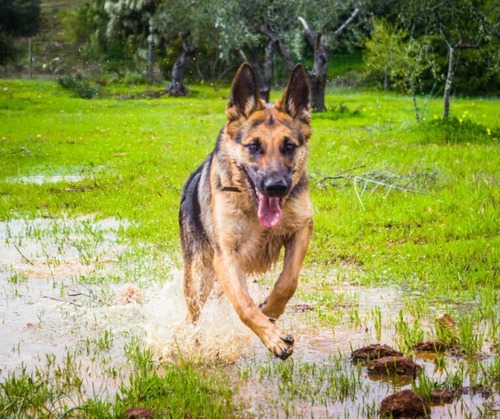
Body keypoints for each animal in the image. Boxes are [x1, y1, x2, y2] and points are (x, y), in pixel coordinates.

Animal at [180, 63, 312, 360]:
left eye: (289, 146)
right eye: (254, 146)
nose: (276, 187)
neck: (251, 206)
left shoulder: (302, 229)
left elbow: (289, 280)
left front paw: (271, 309)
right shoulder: (226, 256)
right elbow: (244, 305)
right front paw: (274, 338)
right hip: (199, 276)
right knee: (193, 315)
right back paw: (192, 343)